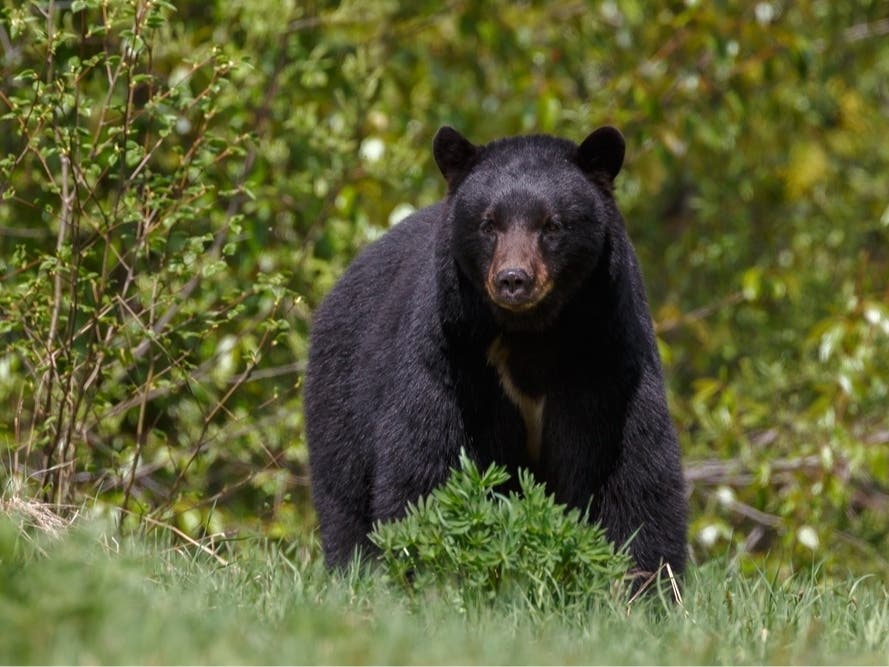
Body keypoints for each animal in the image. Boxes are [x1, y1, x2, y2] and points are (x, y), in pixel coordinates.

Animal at [306, 125, 688, 580]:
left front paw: (645, 579)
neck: (530, 334)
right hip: (342, 388)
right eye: (488, 223)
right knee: (342, 490)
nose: (513, 280)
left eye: (552, 224)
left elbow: (630, 469)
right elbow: (430, 459)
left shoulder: (605, 352)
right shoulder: (451, 352)